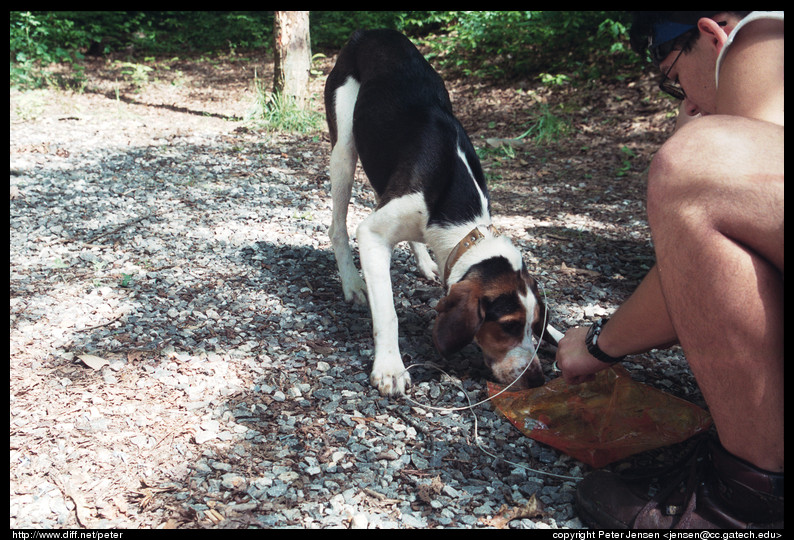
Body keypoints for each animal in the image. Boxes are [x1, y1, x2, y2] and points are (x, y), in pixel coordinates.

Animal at [320, 28, 556, 396]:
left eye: (533, 326)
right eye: (508, 325)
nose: (535, 380)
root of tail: (372, 32)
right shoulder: (372, 235)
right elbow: (388, 312)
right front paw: (390, 367)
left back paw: (423, 261)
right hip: (344, 149)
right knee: (337, 227)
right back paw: (353, 284)